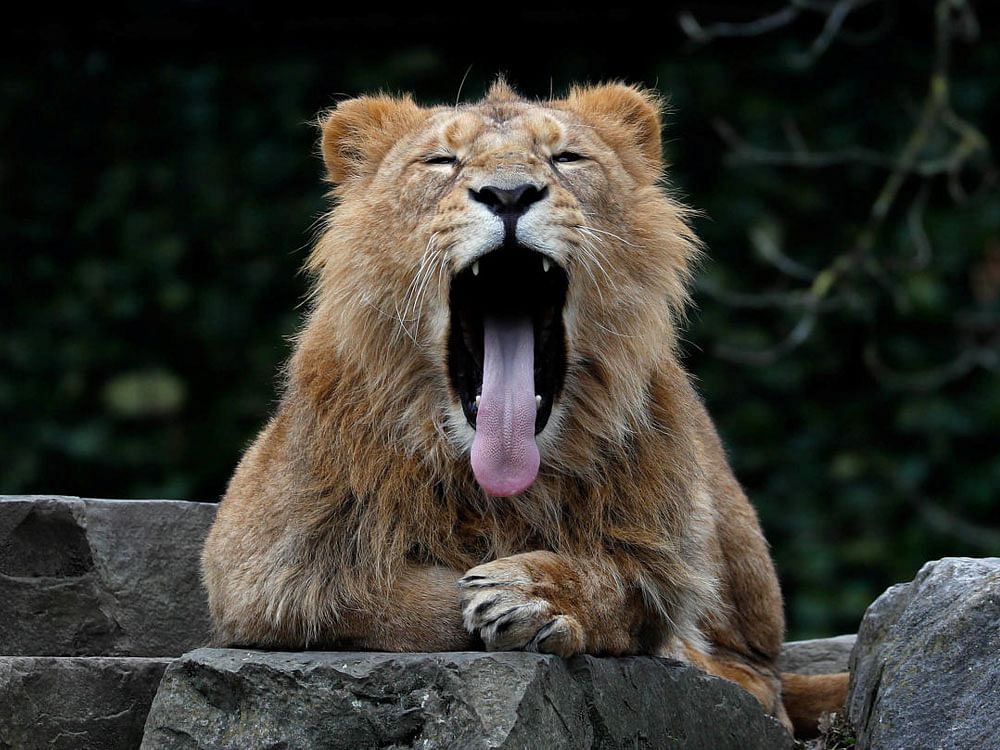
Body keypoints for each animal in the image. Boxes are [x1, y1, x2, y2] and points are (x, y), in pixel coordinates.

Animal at [199, 81, 848, 736]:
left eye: (567, 158)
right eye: (442, 161)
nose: (509, 194)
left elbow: (640, 589)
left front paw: (546, 593)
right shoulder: (253, 575)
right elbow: (388, 597)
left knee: (762, 684)